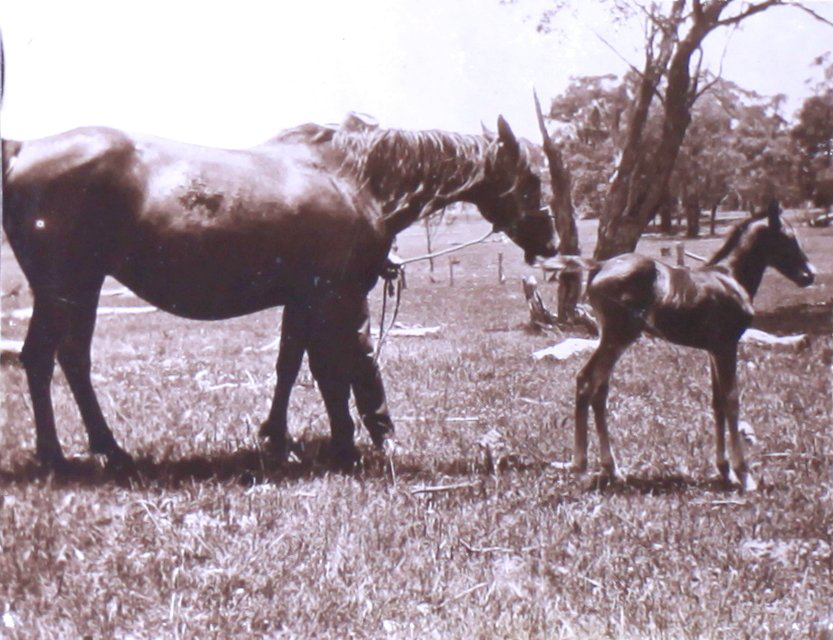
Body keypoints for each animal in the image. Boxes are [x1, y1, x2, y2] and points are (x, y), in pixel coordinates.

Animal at [2, 113, 557, 471]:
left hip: (79, 286)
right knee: (44, 358)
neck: (350, 177)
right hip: (66, 286)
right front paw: (345, 446)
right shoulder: (333, 295)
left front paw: (278, 439)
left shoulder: (304, 298)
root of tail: (23, 150)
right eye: (532, 178)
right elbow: (334, 369)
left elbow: (292, 364)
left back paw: (104, 449)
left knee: (68, 358)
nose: (551, 241)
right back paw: (60, 456)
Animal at [571, 201, 815, 491]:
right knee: (586, 380)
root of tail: (598, 266)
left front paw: (724, 470)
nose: (809, 275)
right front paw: (744, 475)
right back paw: (581, 468)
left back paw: (612, 470)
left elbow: (717, 402)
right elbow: (731, 400)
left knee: (599, 389)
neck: (731, 278)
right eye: (788, 237)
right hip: (618, 336)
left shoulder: (713, 350)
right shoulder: (726, 345)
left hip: (613, 339)